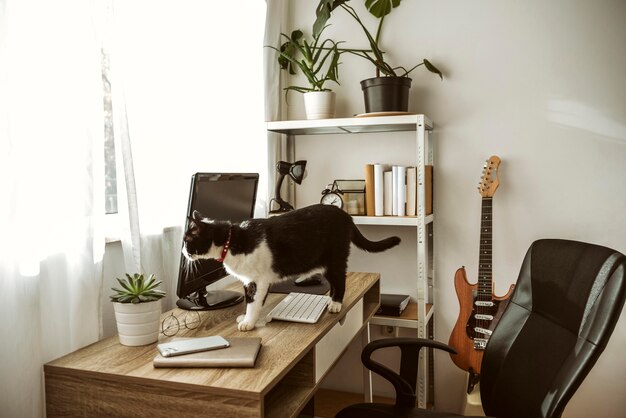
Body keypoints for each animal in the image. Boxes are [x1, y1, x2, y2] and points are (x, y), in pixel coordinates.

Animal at [179, 204, 400, 332]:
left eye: (187, 241)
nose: (182, 251)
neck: (231, 242)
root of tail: (345, 214)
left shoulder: (258, 280)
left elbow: (254, 302)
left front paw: (249, 322)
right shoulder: (248, 280)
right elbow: (249, 301)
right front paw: (246, 316)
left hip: (334, 257)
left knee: (340, 279)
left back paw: (336, 304)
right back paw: (330, 299)